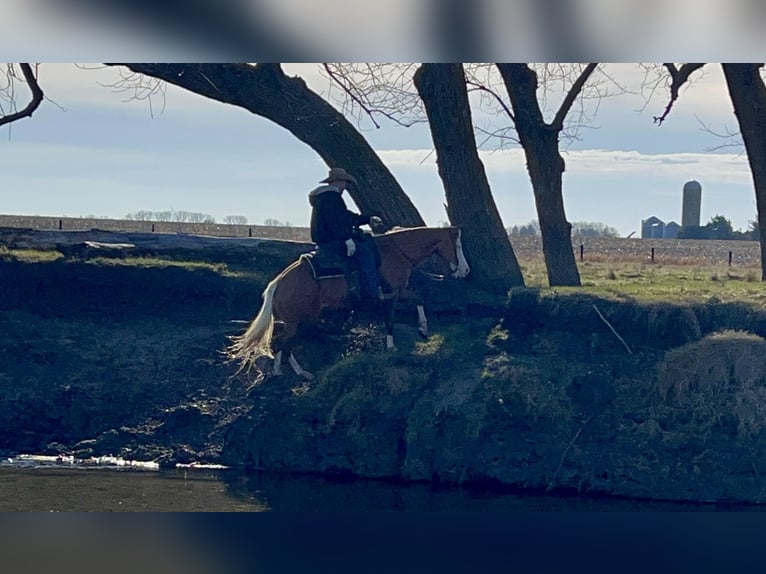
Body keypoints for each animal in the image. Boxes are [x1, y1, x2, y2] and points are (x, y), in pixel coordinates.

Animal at [225, 226, 472, 382]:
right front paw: (392, 344)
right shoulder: (393, 292)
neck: (395, 251)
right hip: (298, 320)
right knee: (284, 343)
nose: (466, 270)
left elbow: (418, 298)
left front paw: (422, 328)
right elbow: (393, 316)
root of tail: (277, 283)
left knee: (281, 343)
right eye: (458, 246)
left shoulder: (396, 292)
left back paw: (289, 371)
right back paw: (297, 373)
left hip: (293, 320)